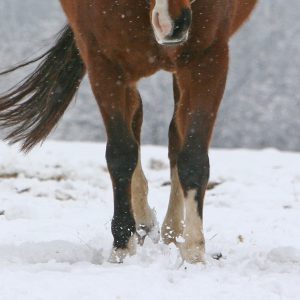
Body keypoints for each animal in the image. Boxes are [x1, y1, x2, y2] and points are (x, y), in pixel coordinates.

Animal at [0, 0, 256, 262]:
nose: (172, 24)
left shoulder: (207, 59)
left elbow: (193, 158)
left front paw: (194, 253)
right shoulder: (105, 63)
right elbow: (121, 155)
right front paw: (122, 248)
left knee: (174, 136)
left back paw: (173, 232)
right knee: (138, 119)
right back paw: (144, 223)